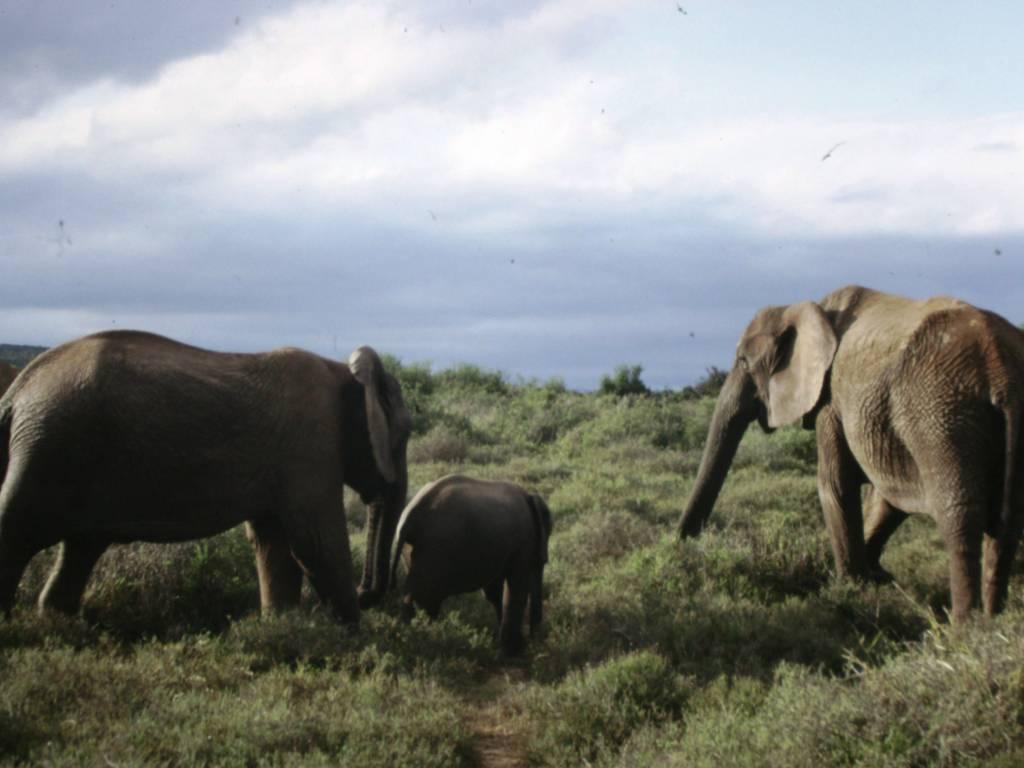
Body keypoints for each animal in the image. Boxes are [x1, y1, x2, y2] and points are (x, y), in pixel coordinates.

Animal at [0, 331, 407, 626]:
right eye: (403, 437)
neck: (345, 374)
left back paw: (58, 625)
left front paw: (282, 627)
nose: (366, 593)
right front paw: (358, 637)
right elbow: (315, 543)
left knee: (80, 547)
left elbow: (274, 543)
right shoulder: (309, 444)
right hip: (49, 445)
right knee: (18, 529)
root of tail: (16, 391)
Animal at [389, 475, 552, 655]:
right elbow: (517, 587)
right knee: (424, 598)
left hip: (412, 551)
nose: (536, 640)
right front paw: (515, 652)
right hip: (434, 551)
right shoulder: (524, 542)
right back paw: (422, 638)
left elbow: (494, 590)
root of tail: (408, 519)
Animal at [679, 286, 1024, 622]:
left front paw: (852, 587)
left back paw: (964, 627)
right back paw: (993, 622)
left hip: (941, 413)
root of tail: (1001, 372)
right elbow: (886, 498)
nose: (683, 543)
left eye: (742, 361)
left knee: (960, 515)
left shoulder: (831, 401)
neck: (810, 308)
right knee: (1006, 521)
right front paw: (875, 579)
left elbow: (835, 484)